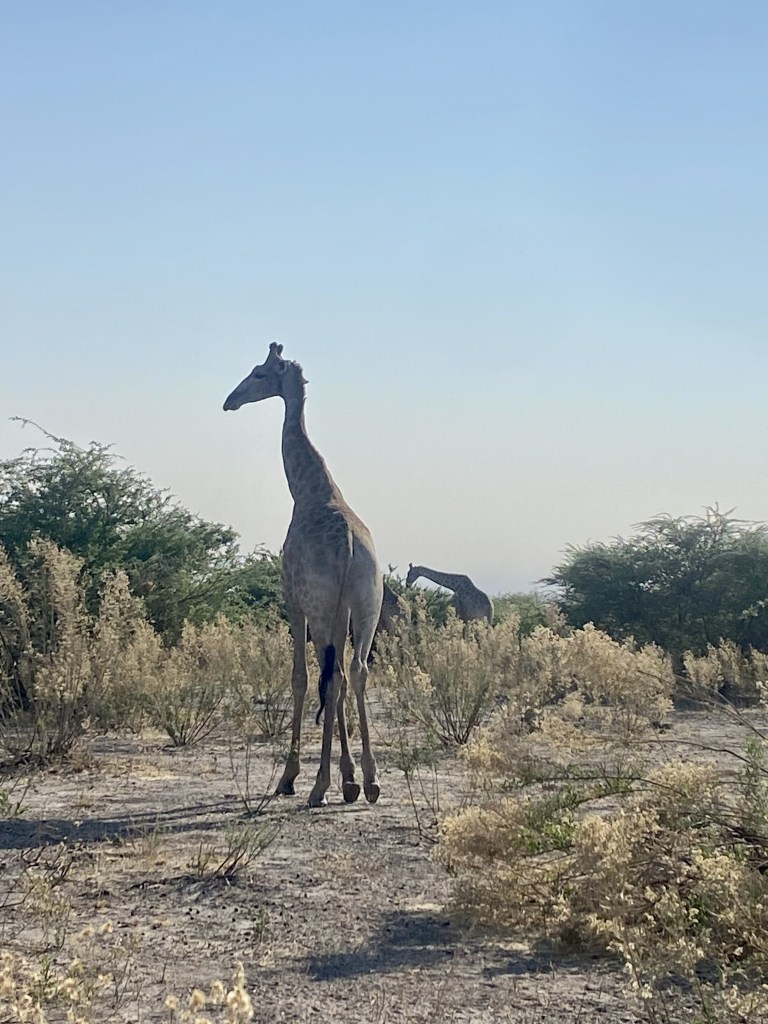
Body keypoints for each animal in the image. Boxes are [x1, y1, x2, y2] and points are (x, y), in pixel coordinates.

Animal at [224, 343, 383, 807]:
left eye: (259, 373)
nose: (229, 400)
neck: (309, 490)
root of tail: (348, 545)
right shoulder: (343, 610)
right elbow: (340, 678)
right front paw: (351, 778)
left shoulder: (293, 601)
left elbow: (301, 678)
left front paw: (292, 777)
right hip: (368, 604)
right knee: (357, 673)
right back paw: (370, 780)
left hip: (320, 607)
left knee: (332, 679)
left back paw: (317, 785)